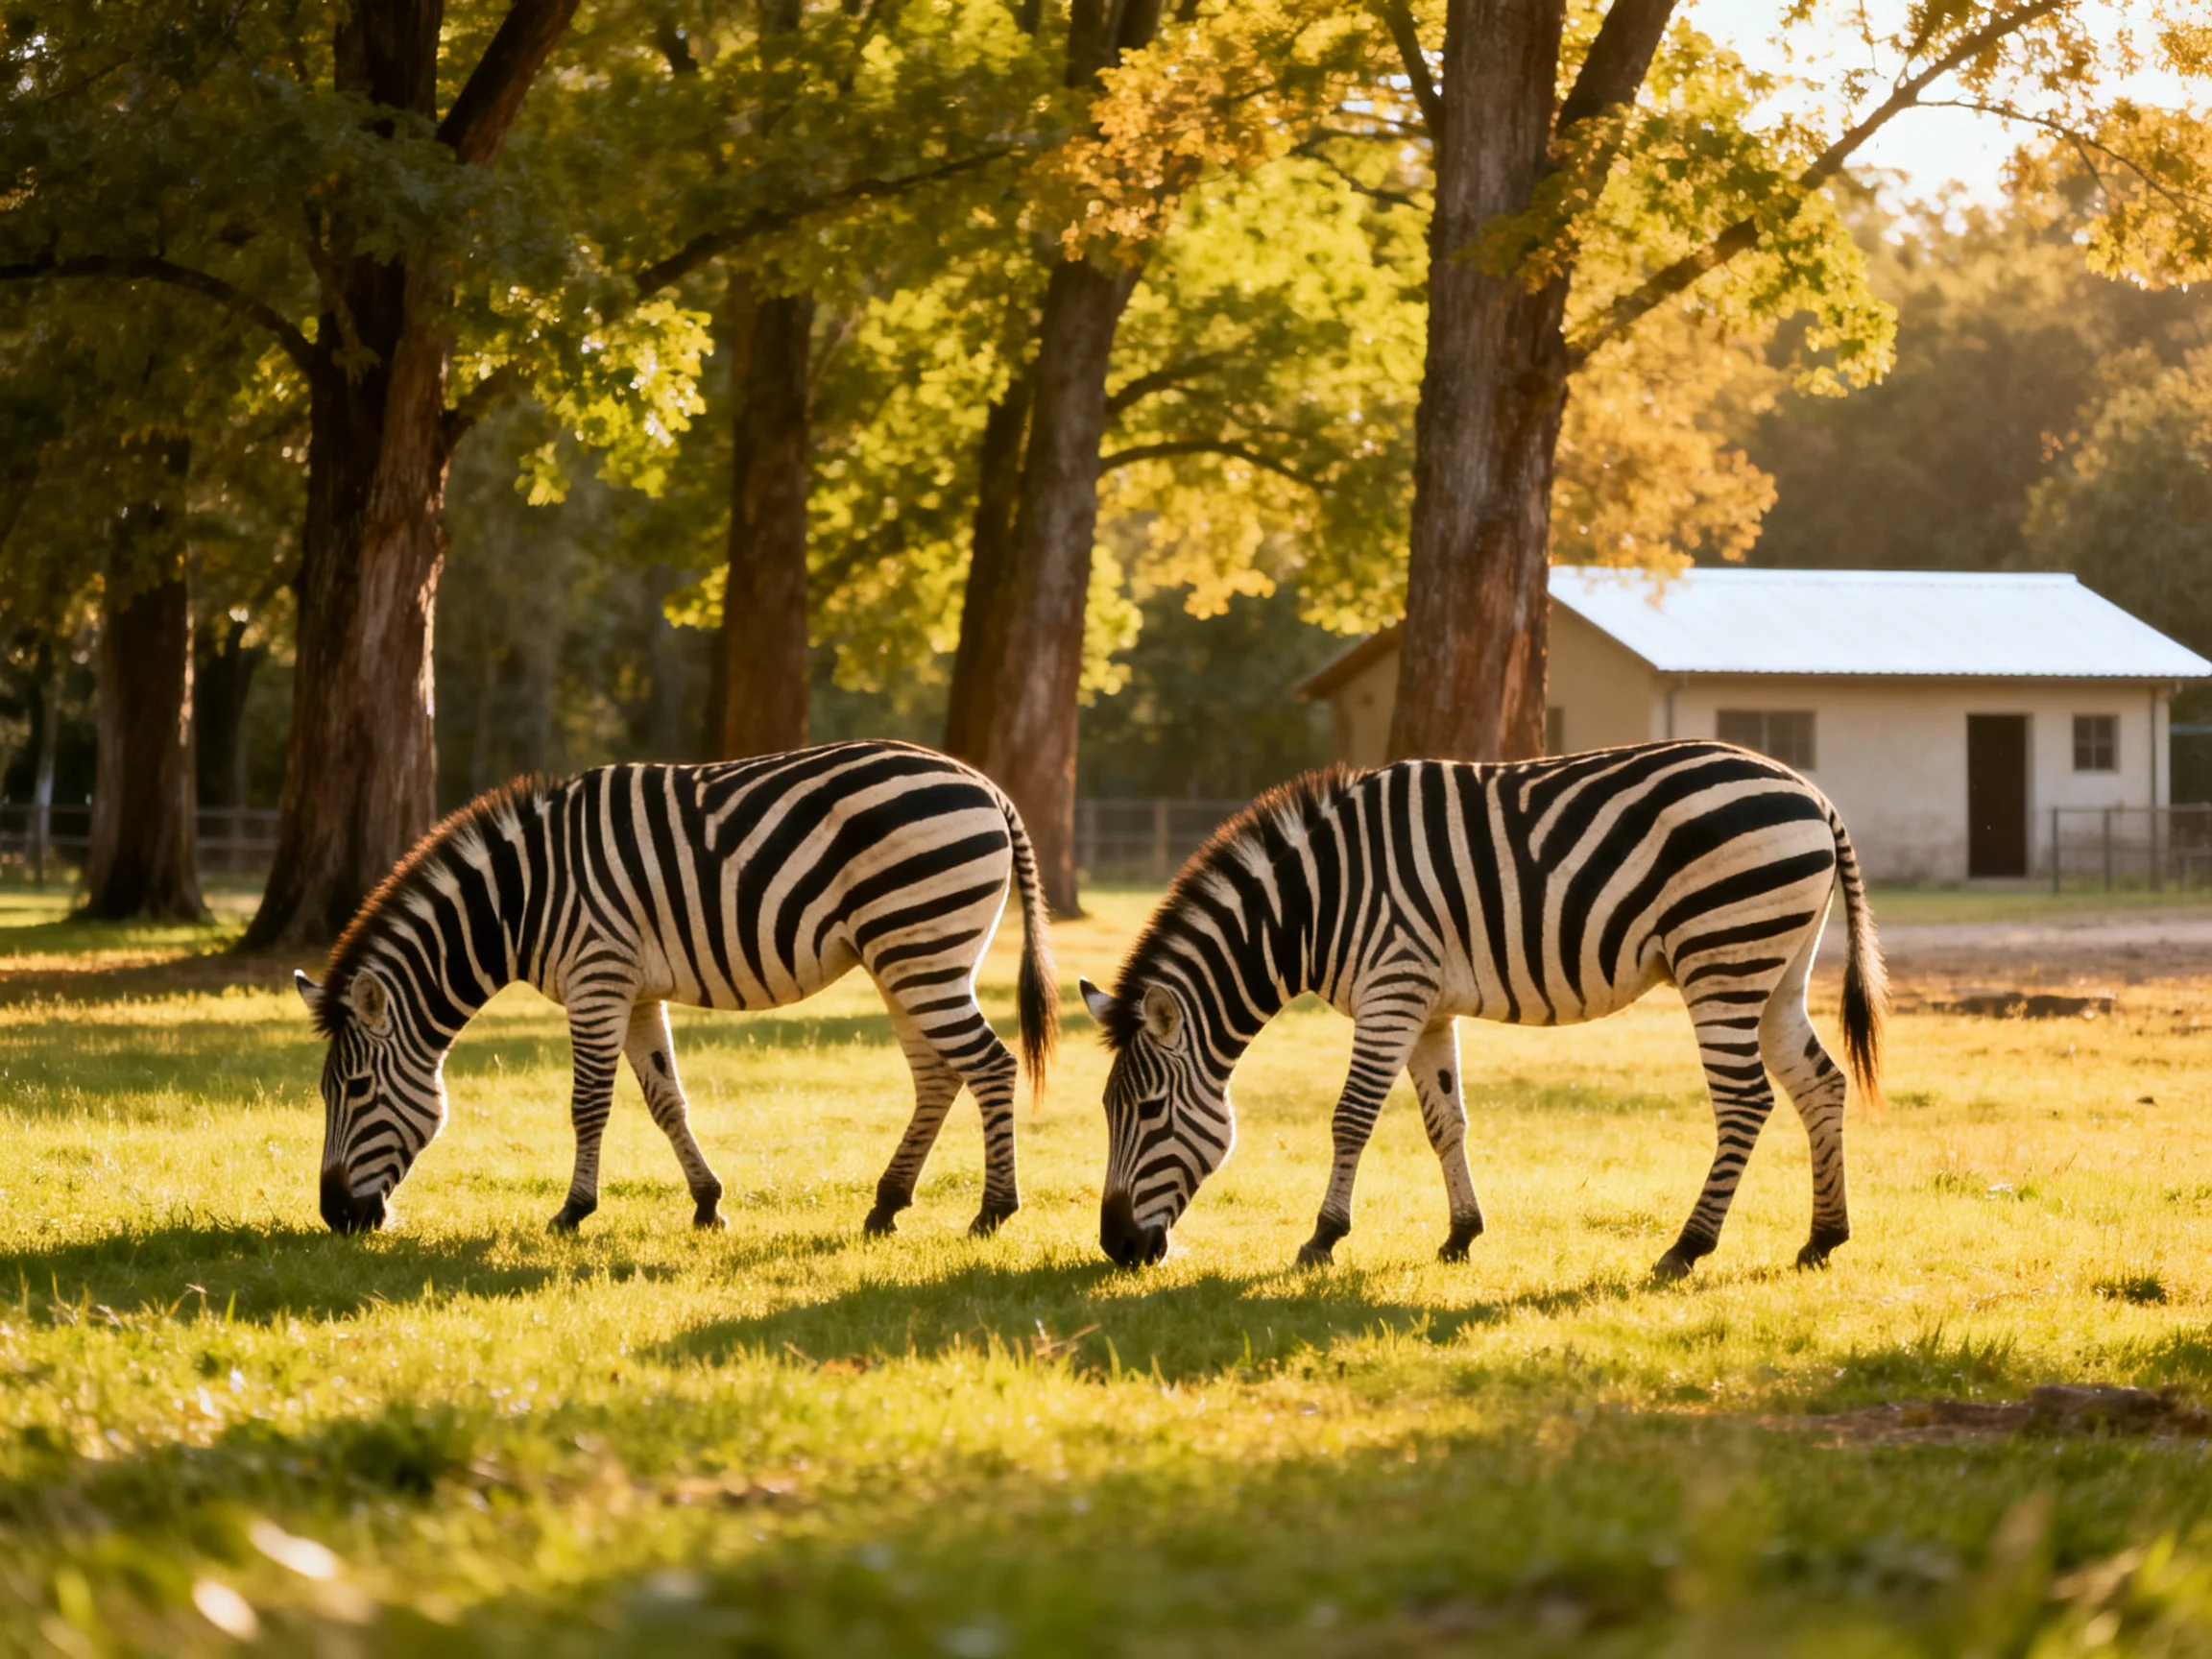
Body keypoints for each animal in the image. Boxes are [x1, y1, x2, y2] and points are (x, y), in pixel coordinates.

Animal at [294, 742, 1056, 1239]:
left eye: (355, 1090)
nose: (335, 1218)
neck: (520, 901)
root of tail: (986, 785)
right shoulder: (632, 991)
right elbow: (666, 1101)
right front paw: (708, 1204)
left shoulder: (596, 978)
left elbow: (589, 1106)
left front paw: (572, 1212)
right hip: (906, 958)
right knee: (938, 1075)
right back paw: (888, 1205)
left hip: (920, 948)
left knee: (990, 1065)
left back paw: (992, 1211)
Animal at [1078, 741, 1884, 1278]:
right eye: (1107, 1112)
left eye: (1148, 1111)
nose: (1117, 1248)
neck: (1311, 905)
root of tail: (1812, 795)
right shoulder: (1425, 1007)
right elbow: (1446, 1121)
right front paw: (1462, 1234)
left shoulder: (1391, 991)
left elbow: (1351, 1118)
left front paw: (1322, 1239)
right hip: (1775, 968)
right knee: (1820, 1082)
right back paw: (1823, 1238)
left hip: (1721, 957)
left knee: (1746, 1101)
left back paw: (1687, 1247)